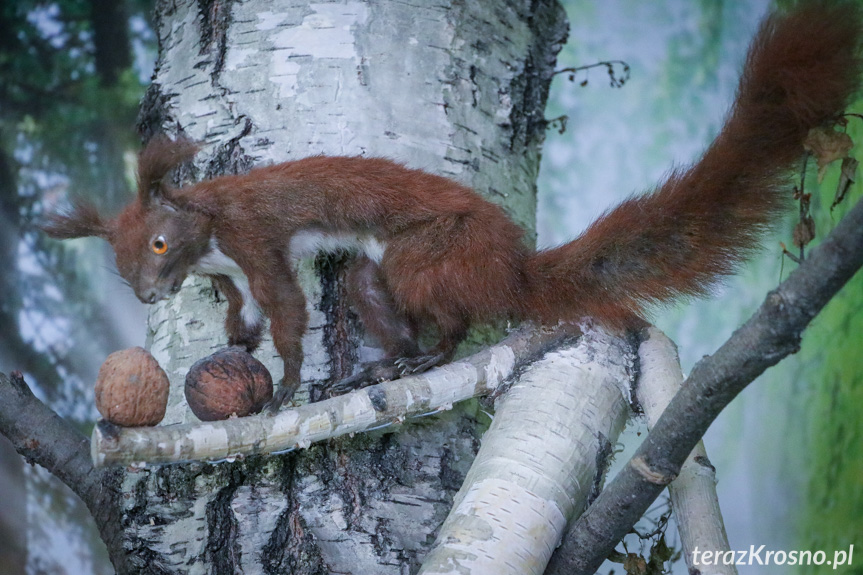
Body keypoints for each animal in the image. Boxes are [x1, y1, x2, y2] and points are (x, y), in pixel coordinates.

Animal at [42, 2, 863, 412]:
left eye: (156, 243)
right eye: (119, 260)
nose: (147, 295)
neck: (207, 230)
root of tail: (511, 266)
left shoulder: (254, 239)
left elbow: (285, 311)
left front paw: (284, 384)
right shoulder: (223, 270)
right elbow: (239, 309)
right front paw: (237, 344)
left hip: (428, 253)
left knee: (458, 322)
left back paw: (417, 358)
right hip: (386, 274)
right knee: (387, 305)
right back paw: (385, 366)